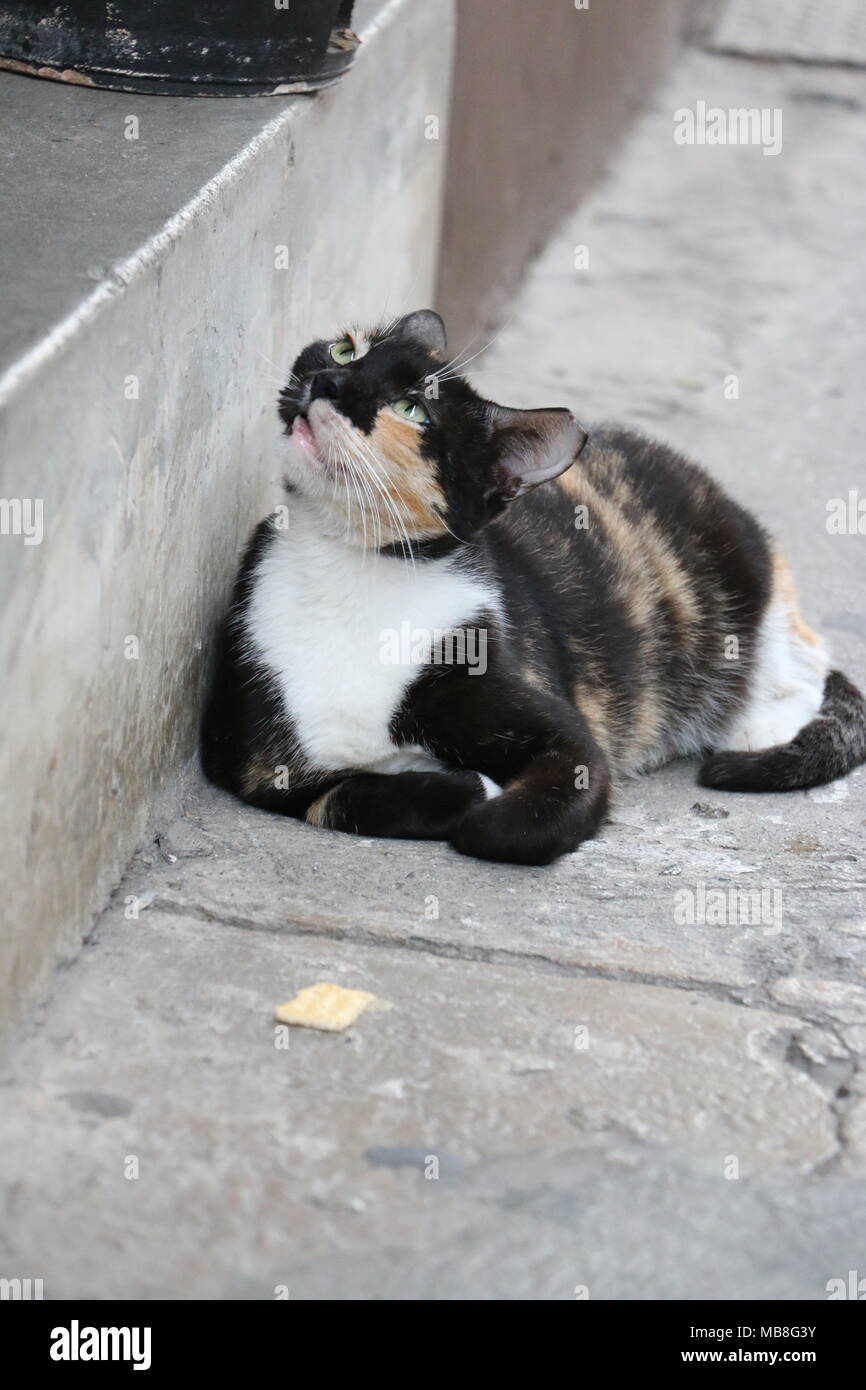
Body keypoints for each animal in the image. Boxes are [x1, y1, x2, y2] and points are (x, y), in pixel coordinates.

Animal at [202, 309, 866, 861]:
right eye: (344, 349)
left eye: (413, 408)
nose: (329, 383)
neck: (347, 564)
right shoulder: (252, 758)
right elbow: (334, 796)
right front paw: (458, 786)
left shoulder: (554, 723)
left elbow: (517, 820)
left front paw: (482, 802)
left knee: (806, 662)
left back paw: (761, 723)